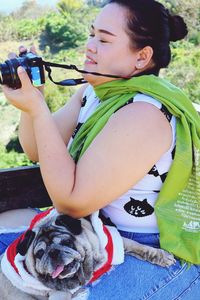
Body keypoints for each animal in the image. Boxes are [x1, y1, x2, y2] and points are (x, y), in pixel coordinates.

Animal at [0, 209, 175, 300]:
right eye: (40, 253)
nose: (53, 253)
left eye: (66, 242)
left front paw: (159, 255)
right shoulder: (58, 294)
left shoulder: (115, 242)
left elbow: (137, 245)